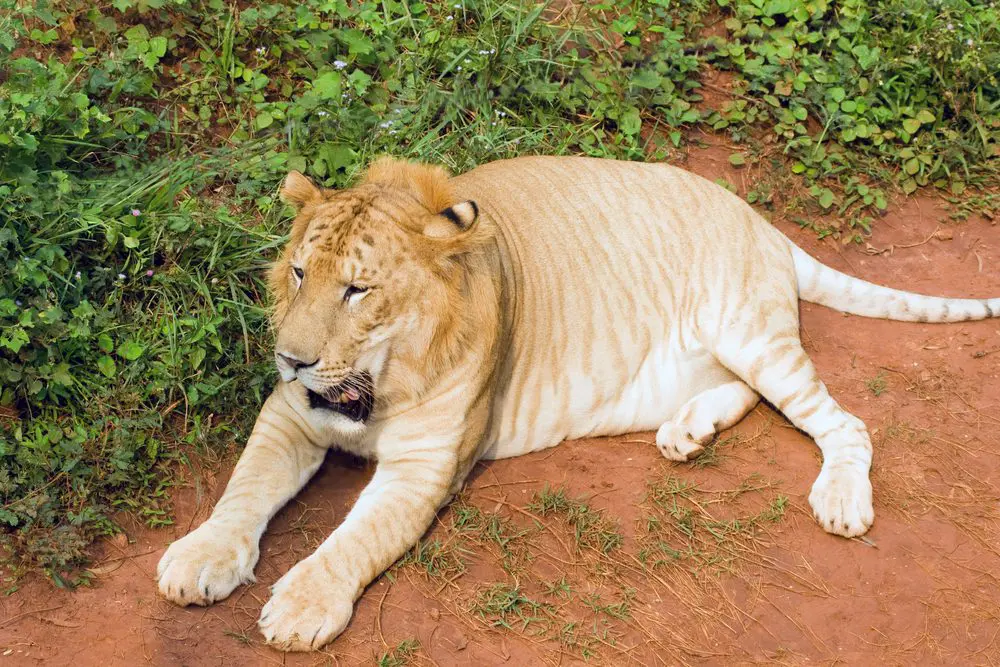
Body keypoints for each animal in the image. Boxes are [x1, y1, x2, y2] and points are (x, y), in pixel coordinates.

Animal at [156, 155, 1000, 651]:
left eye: (358, 289)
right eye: (299, 272)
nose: (291, 356)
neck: (375, 384)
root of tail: (759, 219)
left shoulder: (425, 464)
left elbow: (353, 539)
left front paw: (302, 605)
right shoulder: (291, 412)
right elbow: (244, 487)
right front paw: (199, 558)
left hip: (750, 330)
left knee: (842, 419)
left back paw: (841, 498)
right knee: (748, 394)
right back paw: (686, 431)